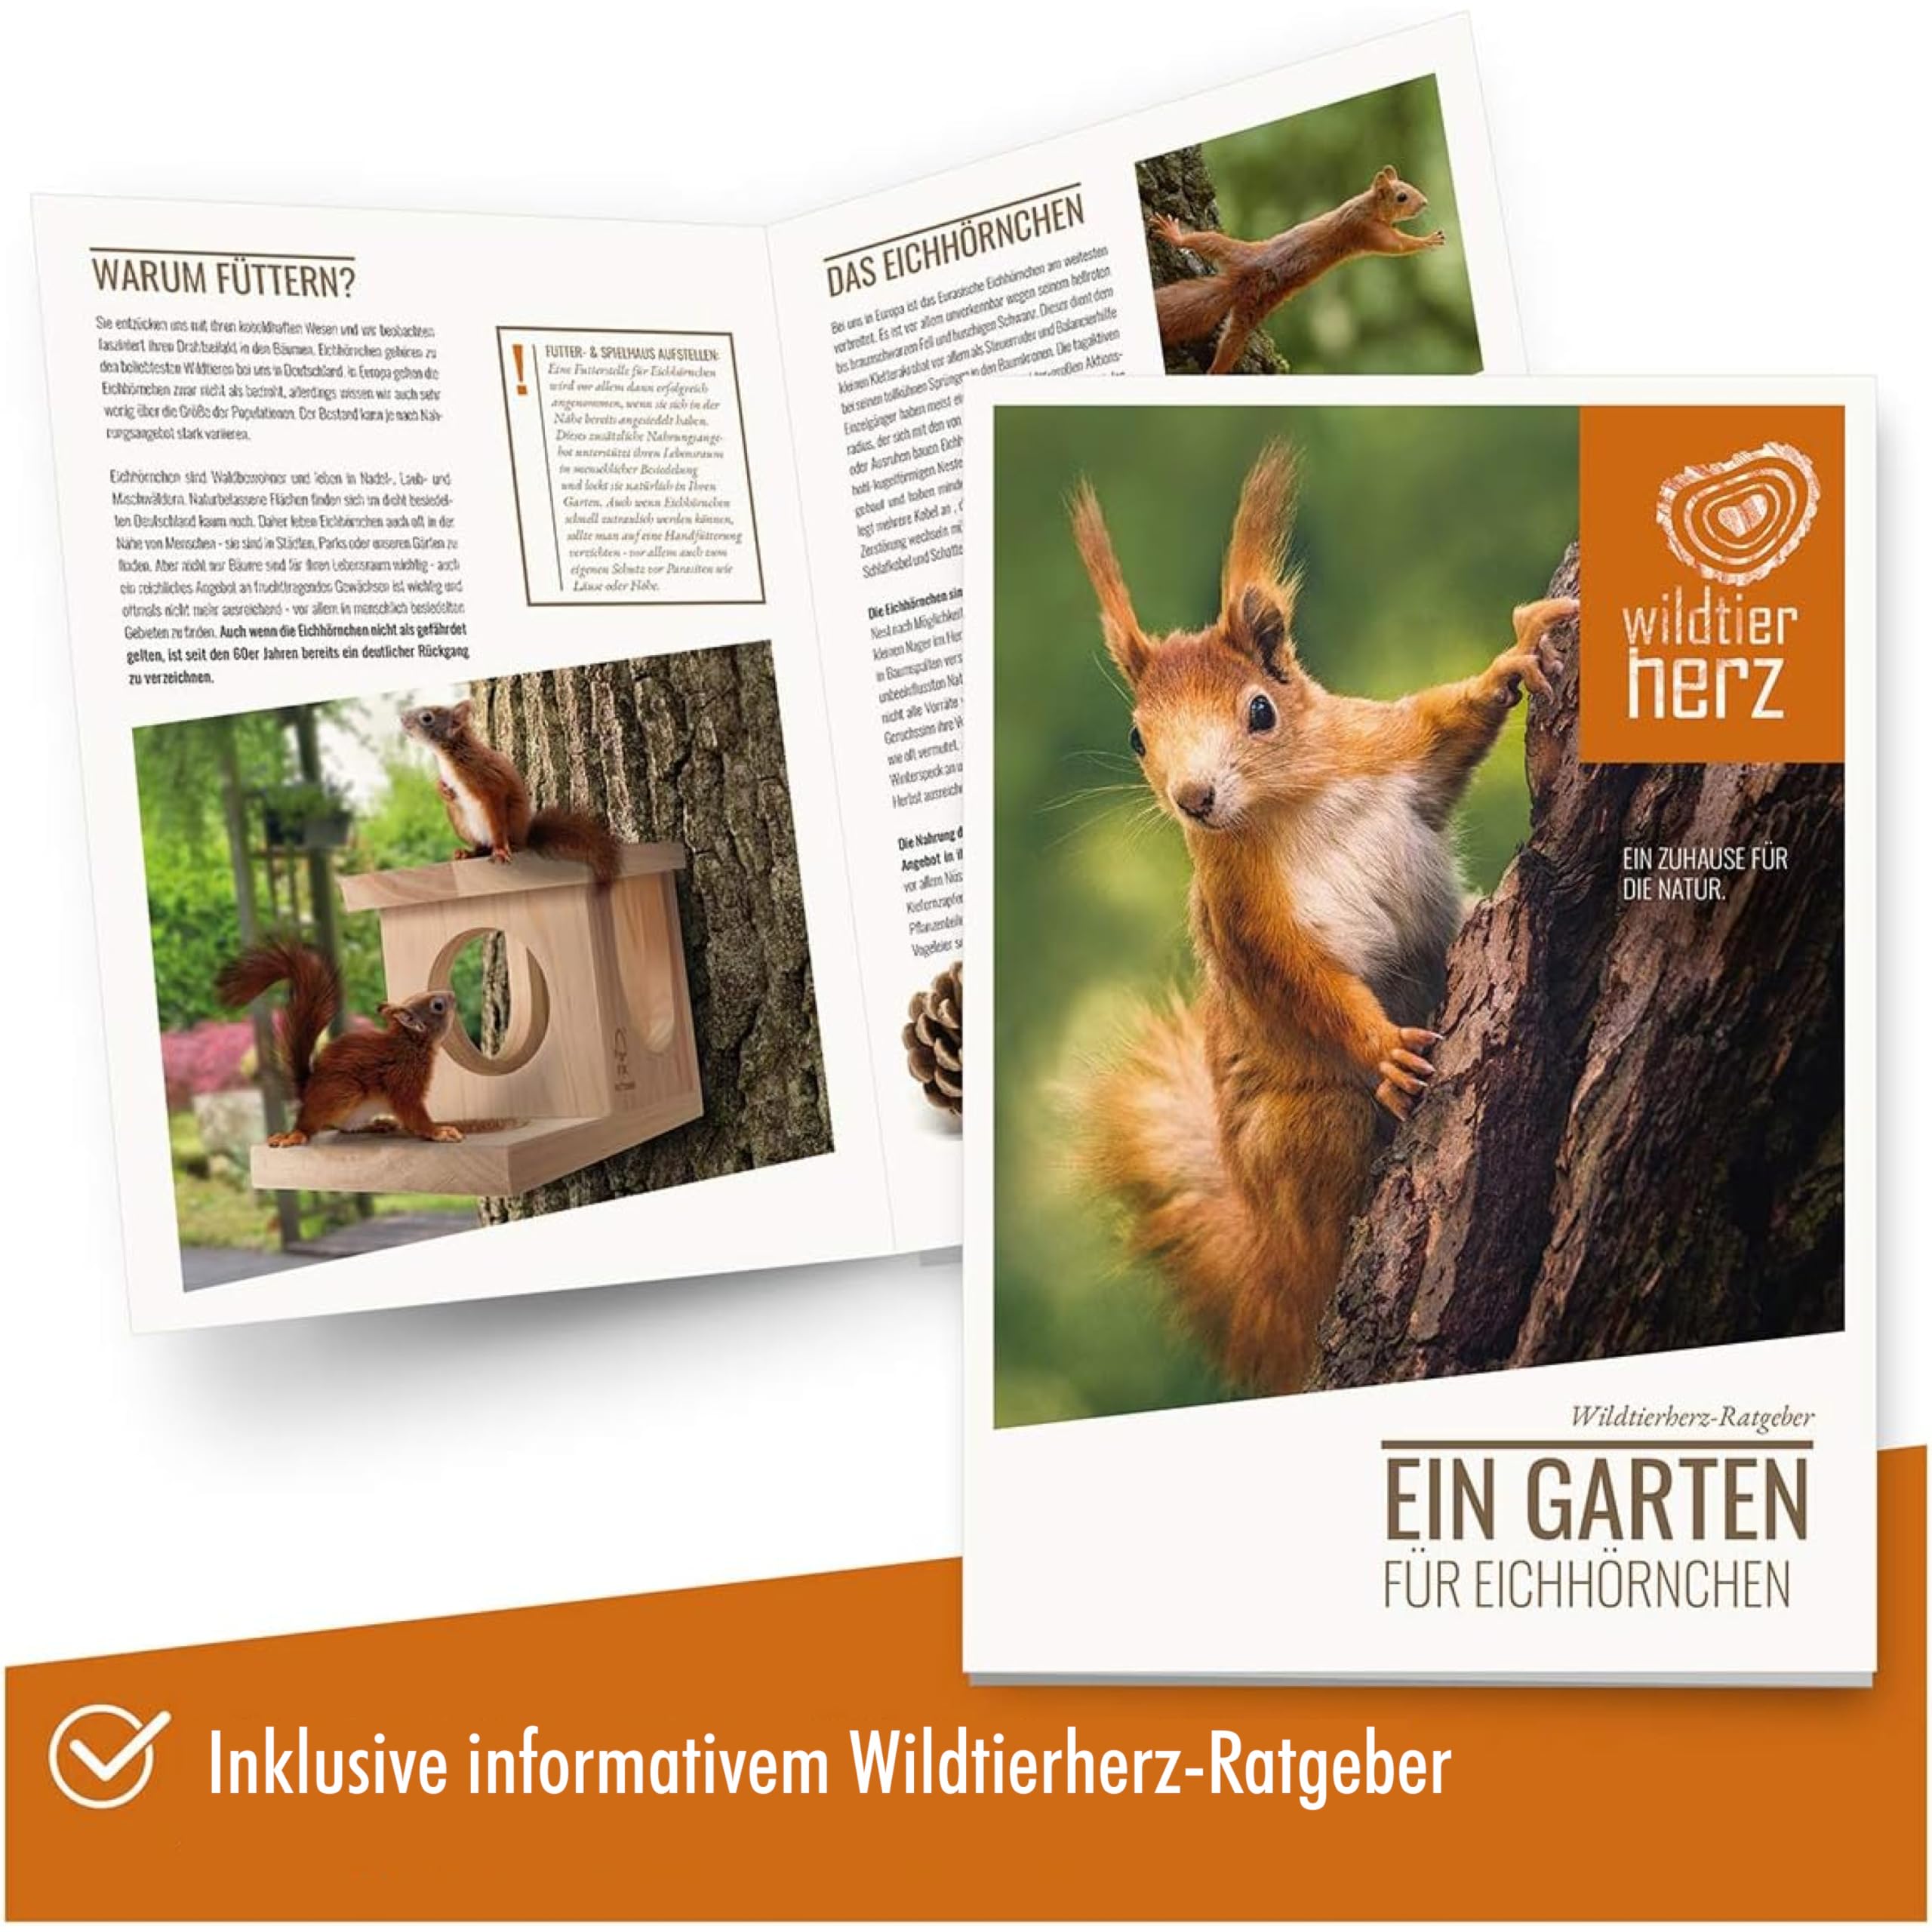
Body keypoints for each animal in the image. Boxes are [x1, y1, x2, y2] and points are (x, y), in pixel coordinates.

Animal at [214, 938, 463, 1147]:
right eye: (437, 1005)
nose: (452, 995)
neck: (410, 1045)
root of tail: (307, 1092)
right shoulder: (402, 1081)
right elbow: (414, 1115)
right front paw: (440, 1132)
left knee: (344, 1128)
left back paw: (378, 1124)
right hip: (343, 1093)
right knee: (311, 1123)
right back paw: (295, 1134)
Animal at [400, 700, 619, 885]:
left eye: (427, 718)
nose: (401, 718)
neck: (450, 755)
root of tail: (525, 838)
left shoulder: (487, 781)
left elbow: (496, 811)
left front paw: (500, 850)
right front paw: (443, 790)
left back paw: (505, 848)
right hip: (461, 824)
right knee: (481, 848)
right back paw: (466, 853)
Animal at [1071, 443, 1577, 1393]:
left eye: (1260, 710)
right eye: (1136, 737)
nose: (1194, 799)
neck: (1288, 804)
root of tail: (1275, 1258)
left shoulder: (1389, 747)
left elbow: (1449, 724)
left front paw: (1516, 658)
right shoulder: (1244, 917)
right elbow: (1302, 984)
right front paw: (1381, 1047)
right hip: (1304, 1132)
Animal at [1148, 165, 1445, 375]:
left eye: (1410, 186)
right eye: (1402, 196)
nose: (1426, 203)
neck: (1368, 205)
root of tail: (1243, 279)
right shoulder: (1367, 230)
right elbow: (1397, 246)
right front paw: (1427, 241)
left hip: (1236, 260)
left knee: (1207, 244)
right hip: (1251, 293)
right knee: (1231, 346)